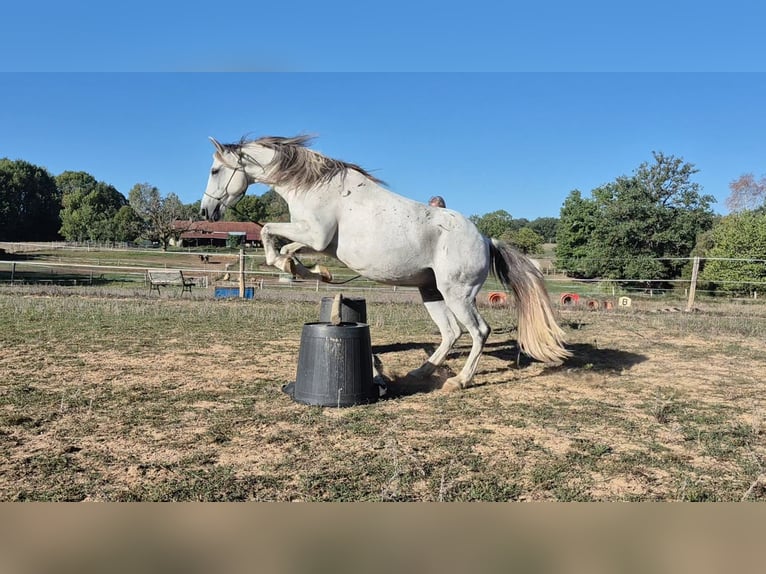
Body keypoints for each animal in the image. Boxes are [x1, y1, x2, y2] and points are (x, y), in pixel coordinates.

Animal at [200, 135, 570, 391]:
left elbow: (269, 237)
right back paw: (420, 371)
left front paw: (295, 267)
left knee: (478, 332)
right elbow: (287, 248)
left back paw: (458, 382)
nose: (206, 211)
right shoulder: (318, 242)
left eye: (215, 170)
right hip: (430, 292)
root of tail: (485, 239)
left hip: (458, 294)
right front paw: (313, 271)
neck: (315, 187)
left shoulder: (315, 236)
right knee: (450, 332)